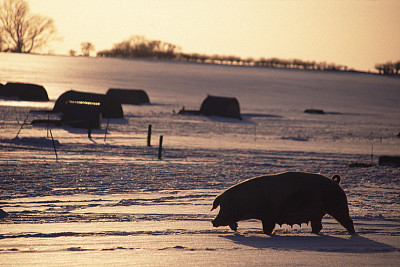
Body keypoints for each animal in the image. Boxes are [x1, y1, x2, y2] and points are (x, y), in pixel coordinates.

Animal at [211, 173, 354, 236]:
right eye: (221, 207)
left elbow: (268, 228)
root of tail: (335, 182)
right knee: (318, 226)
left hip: (338, 206)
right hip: (317, 214)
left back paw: (352, 234)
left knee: (348, 221)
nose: (213, 222)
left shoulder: (268, 216)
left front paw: (267, 234)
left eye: (224, 207)